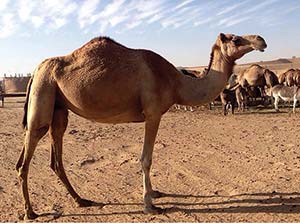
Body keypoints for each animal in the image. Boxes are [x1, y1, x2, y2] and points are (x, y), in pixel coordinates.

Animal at [15, 33, 266, 220]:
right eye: (236, 39)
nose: (261, 40)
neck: (177, 82)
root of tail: (35, 71)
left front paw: (154, 193)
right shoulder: (153, 113)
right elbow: (146, 158)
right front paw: (149, 204)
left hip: (59, 107)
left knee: (55, 152)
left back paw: (81, 200)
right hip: (43, 90)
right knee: (27, 153)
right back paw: (30, 212)